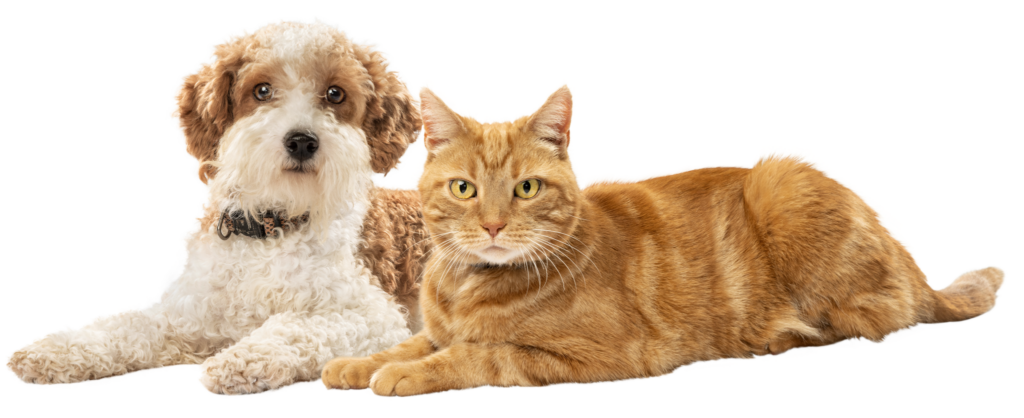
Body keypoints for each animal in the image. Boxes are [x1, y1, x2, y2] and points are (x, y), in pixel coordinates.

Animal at [2, 15, 430, 395]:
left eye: (335, 94)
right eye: (261, 90)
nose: (302, 141)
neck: (270, 229)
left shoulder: (371, 316)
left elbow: (295, 328)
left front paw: (242, 360)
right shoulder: (187, 313)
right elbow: (125, 326)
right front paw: (53, 349)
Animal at [321, 79, 1007, 397]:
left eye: (526, 189)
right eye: (464, 189)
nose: (491, 225)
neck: (467, 287)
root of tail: (922, 274)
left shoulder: (592, 357)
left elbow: (477, 354)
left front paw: (404, 374)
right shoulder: (436, 326)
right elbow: (415, 344)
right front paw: (360, 363)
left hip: (782, 175)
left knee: (879, 316)